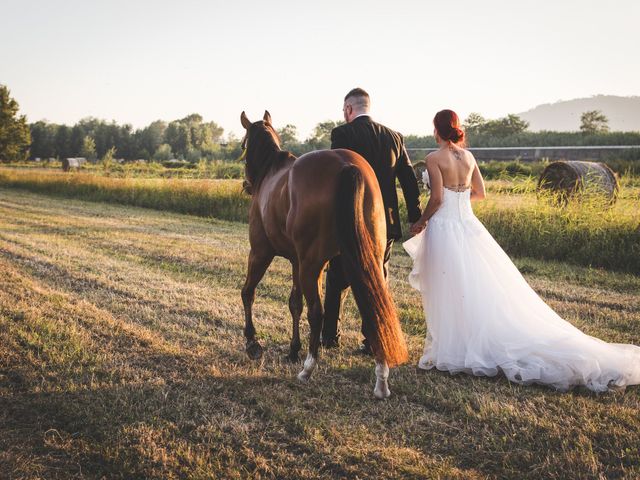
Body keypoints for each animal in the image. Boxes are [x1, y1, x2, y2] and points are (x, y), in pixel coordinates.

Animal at [238, 109, 408, 398]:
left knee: (317, 312)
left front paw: (252, 343)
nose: (246, 185)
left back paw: (308, 369)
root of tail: (347, 166)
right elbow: (294, 303)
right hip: (365, 260)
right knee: (375, 310)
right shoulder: (296, 261)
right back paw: (381, 380)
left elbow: (249, 292)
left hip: (311, 265)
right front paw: (293, 349)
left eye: (242, 145)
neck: (272, 173)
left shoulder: (261, 253)